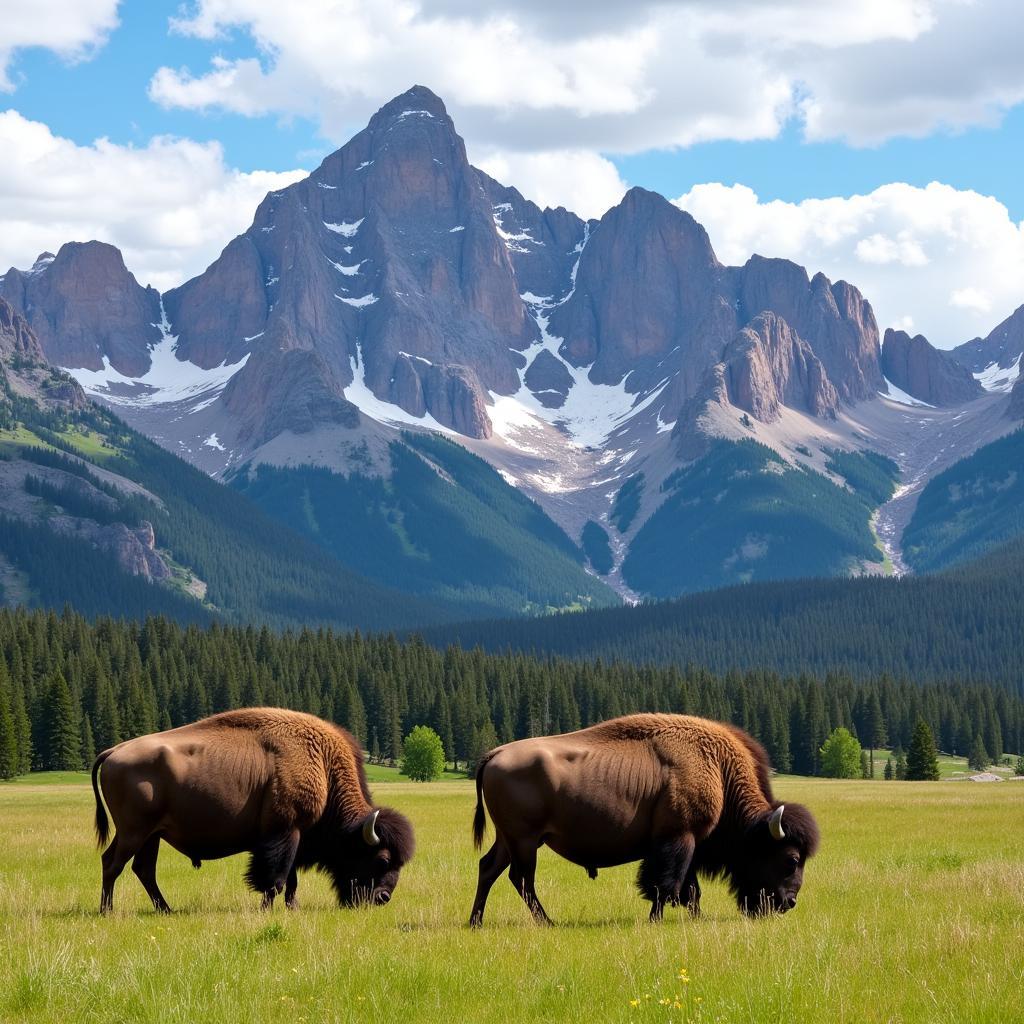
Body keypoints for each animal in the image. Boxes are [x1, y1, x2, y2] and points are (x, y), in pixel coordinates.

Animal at [90, 708, 413, 917]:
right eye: (382, 859)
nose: (383, 898)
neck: (322, 763)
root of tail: (114, 751)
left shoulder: (294, 836)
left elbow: (290, 879)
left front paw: (292, 908)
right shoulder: (285, 833)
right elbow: (275, 879)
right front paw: (267, 909)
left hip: (150, 835)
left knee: (141, 869)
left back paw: (165, 909)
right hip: (134, 832)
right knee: (113, 864)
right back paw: (108, 911)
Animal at [468, 712, 815, 929]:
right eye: (791, 859)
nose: (790, 902)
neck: (717, 768)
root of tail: (495, 754)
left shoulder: (689, 845)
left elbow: (689, 890)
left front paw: (696, 918)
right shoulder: (678, 838)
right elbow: (666, 885)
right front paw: (655, 920)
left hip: (508, 839)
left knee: (489, 869)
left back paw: (476, 922)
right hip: (525, 841)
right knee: (522, 879)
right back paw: (547, 922)